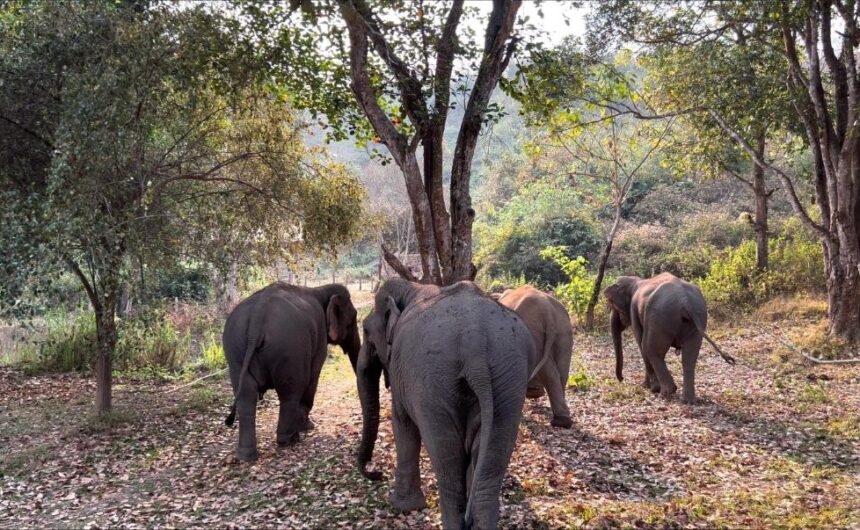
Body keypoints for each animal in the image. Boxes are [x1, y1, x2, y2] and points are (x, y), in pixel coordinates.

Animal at [222, 282, 360, 462]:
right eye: (353, 319)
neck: (319, 289)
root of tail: (256, 320)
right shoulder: (319, 339)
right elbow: (313, 377)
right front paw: (308, 427)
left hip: (235, 349)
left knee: (246, 395)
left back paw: (246, 455)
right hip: (289, 348)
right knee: (290, 391)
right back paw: (290, 439)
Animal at [356, 279, 533, 530]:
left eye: (365, 330)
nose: (376, 473)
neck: (411, 288)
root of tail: (475, 346)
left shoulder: (402, 375)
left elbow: (402, 423)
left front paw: (403, 507)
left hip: (433, 385)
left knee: (447, 465)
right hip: (509, 380)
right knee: (488, 473)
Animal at [604, 272, 735, 403]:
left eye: (613, 305)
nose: (622, 379)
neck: (635, 280)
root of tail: (686, 302)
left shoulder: (634, 311)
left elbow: (640, 343)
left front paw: (648, 387)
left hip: (660, 318)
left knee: (649, 348)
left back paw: (665, 392)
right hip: (698, 318)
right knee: (689, 356)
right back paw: (687, 400)